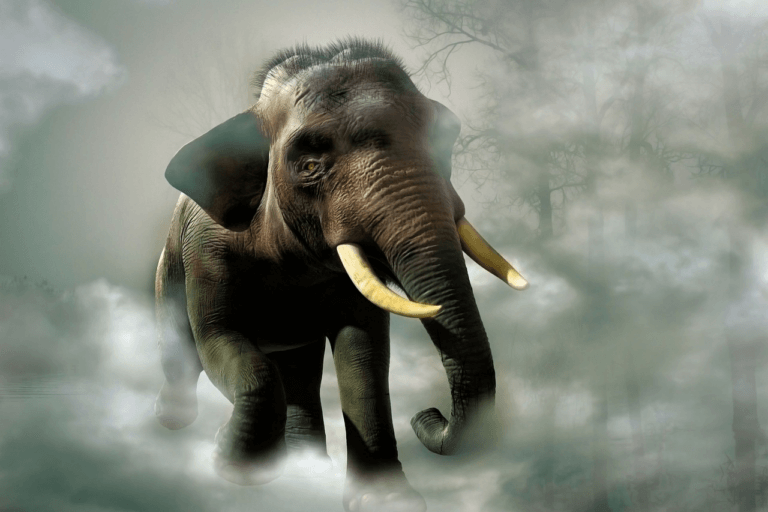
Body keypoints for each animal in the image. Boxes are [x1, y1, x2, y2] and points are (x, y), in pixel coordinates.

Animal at [154, 38, 527, 512]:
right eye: (310, 165)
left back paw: (303, 465)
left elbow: (363, 352)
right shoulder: (208, 252)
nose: (428, 414)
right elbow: (219, 338)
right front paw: (230, 461)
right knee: (183, 349)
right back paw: (174, 423)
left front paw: (389, 500)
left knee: (298, 366)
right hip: (169, 270)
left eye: (447, 141)